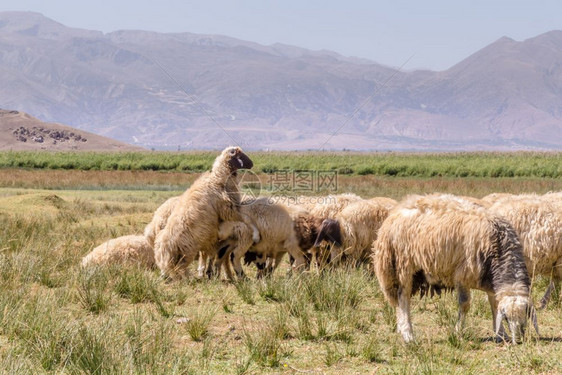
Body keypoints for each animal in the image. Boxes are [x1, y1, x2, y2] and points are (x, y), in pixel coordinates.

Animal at [151, 147, 252, 282]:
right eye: (240, 155)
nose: (251, 164)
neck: (218, 180)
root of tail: (165, 247)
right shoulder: (226, 210)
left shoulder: (212, 236)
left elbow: (211, 254)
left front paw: (209, 273)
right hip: (187, 251)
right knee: (180, 268)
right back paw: (187, 278)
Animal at [370, 195, 536, 346]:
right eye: (507, 317)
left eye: (526, 316)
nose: (519, 339)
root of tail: (396, 212)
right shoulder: (462, 276)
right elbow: (465, 304)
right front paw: (458, 332)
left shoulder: (489, 281)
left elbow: (494, 304)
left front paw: (501, 334)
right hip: (403, 266)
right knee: (403, 298)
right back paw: (408, 335)